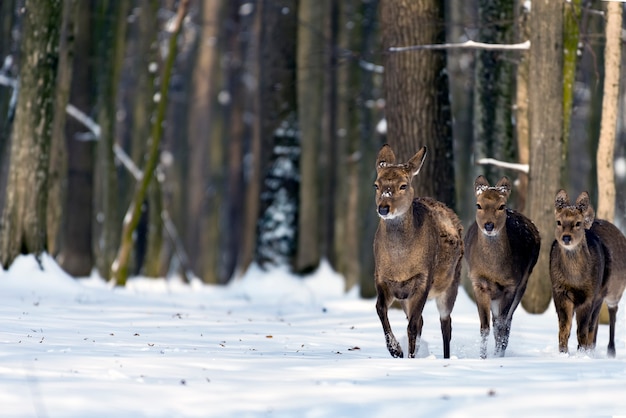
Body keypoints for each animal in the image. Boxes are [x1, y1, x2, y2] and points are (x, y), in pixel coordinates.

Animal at [370, 145, 464, 360]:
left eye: (403, 185)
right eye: (376, 185)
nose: (383, 208)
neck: (400, 265)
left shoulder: (424, 278)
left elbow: (412, 326)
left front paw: (408, 357)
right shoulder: (381, 276)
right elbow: (380, 308)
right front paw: (396, 350)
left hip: (452, 282)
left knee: (446, 323)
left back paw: (446, 357)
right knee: (422, 321)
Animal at [460, 175, 540, 358]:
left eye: (501, 206)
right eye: (478, 205)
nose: (489, 225)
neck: (494, 270)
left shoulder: (511, 285)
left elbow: (501, 326)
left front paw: (496, 357)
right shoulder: (478, 282)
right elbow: (485, 327)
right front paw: (483, 357)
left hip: (524, 282)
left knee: (506, 323)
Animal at [552, 191, 624, 358]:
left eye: (578, 223)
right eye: (558, 222)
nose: (566, 237)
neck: (575, 280)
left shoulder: (590, 294)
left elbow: (583, 328)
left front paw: (582, 353)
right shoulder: (559, 292)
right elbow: (565, 327)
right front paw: (563, 352)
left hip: (613, 290)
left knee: (609, 313)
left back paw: (610, 350)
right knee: (595, 323)